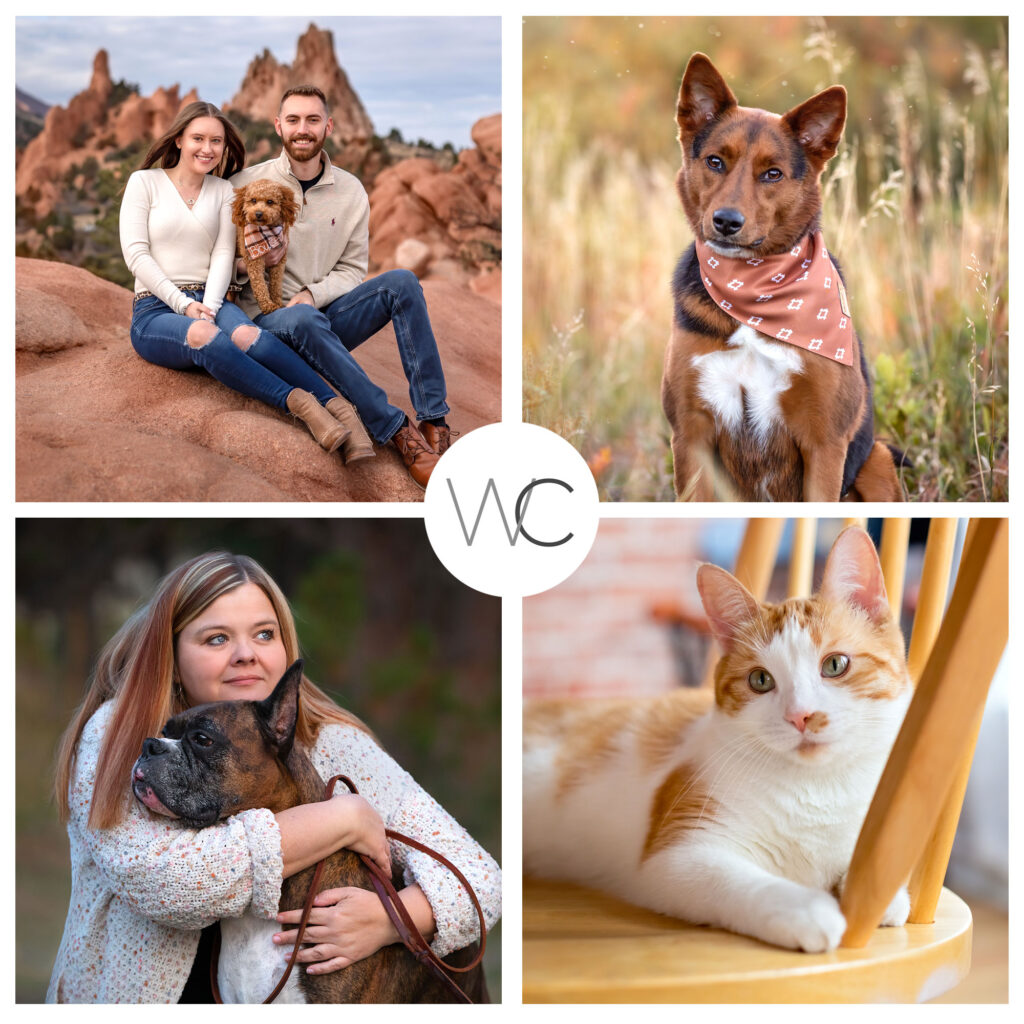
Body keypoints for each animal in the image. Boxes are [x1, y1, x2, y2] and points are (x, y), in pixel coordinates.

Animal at [236, 180, 303, 313]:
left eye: (270, 202)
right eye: (253, 200)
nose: (258, 213)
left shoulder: (280, 261)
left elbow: (276, 285)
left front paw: (277, 302)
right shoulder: (254, 261)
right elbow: (259, 284)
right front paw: (267, 305)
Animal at [528, 528, 913, 950]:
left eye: (835, 664)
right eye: (760, 680)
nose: (800, 715)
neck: (816, 787)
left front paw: (884, 898)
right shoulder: (678, 854)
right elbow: (742, 883)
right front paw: (807, 910)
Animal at [659, 54, 901, 501]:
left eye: (773, 174)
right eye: (715, 161)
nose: (726, 222)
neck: (753, 291)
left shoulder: (824, 442)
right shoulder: (690, 435)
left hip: (878, 458)